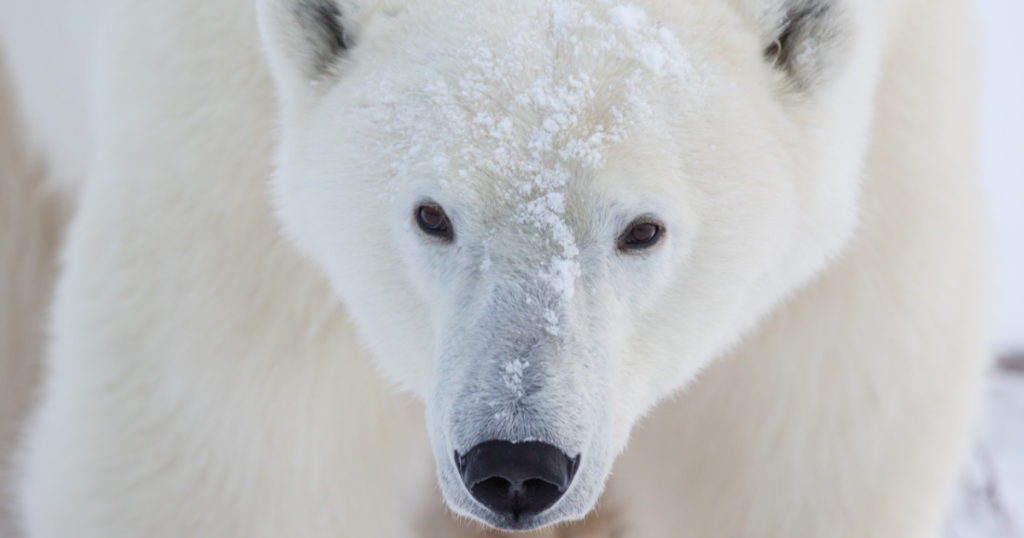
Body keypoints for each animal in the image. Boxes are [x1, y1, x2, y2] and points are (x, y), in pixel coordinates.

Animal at [0, 0, 989, 536]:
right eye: (431, 215)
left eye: (643, 230)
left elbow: (801, 454)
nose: (516, 464)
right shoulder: (225, 156)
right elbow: (213, 455)